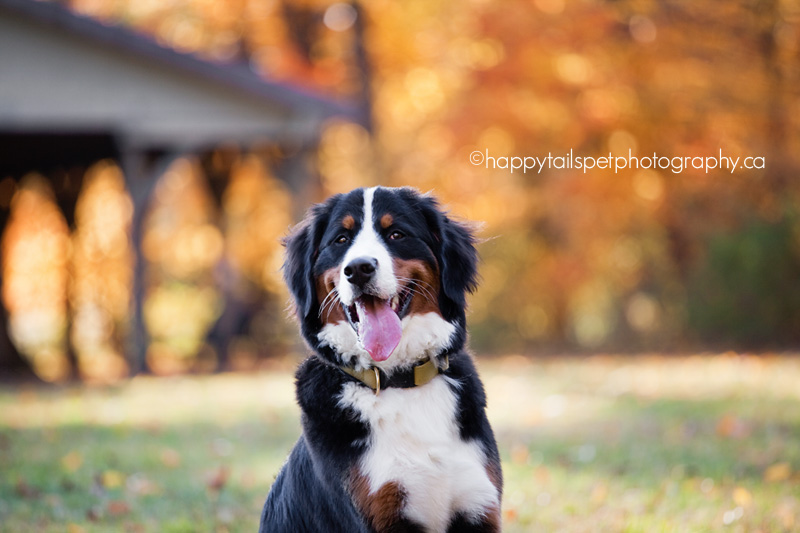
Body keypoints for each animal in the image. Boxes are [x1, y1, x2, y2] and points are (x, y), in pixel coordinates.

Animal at [260, 187, 504, 532]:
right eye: (341, 239)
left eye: (396, 234)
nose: (358, 268)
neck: (398, 381)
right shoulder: (381, 512)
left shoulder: (478, 507)